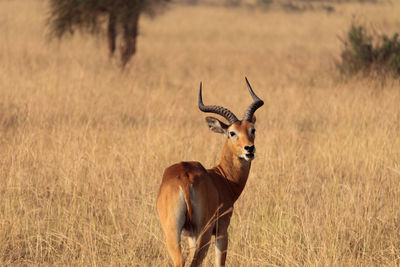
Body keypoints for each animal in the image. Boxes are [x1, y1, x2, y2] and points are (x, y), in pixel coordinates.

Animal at [158, 78, 264, 266]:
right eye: (232, 132)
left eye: (253, 129)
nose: (249, 149)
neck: (221, 178)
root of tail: (184, 179)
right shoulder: (222, 230)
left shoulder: (190, 236)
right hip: (204, 232)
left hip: (173, 233)